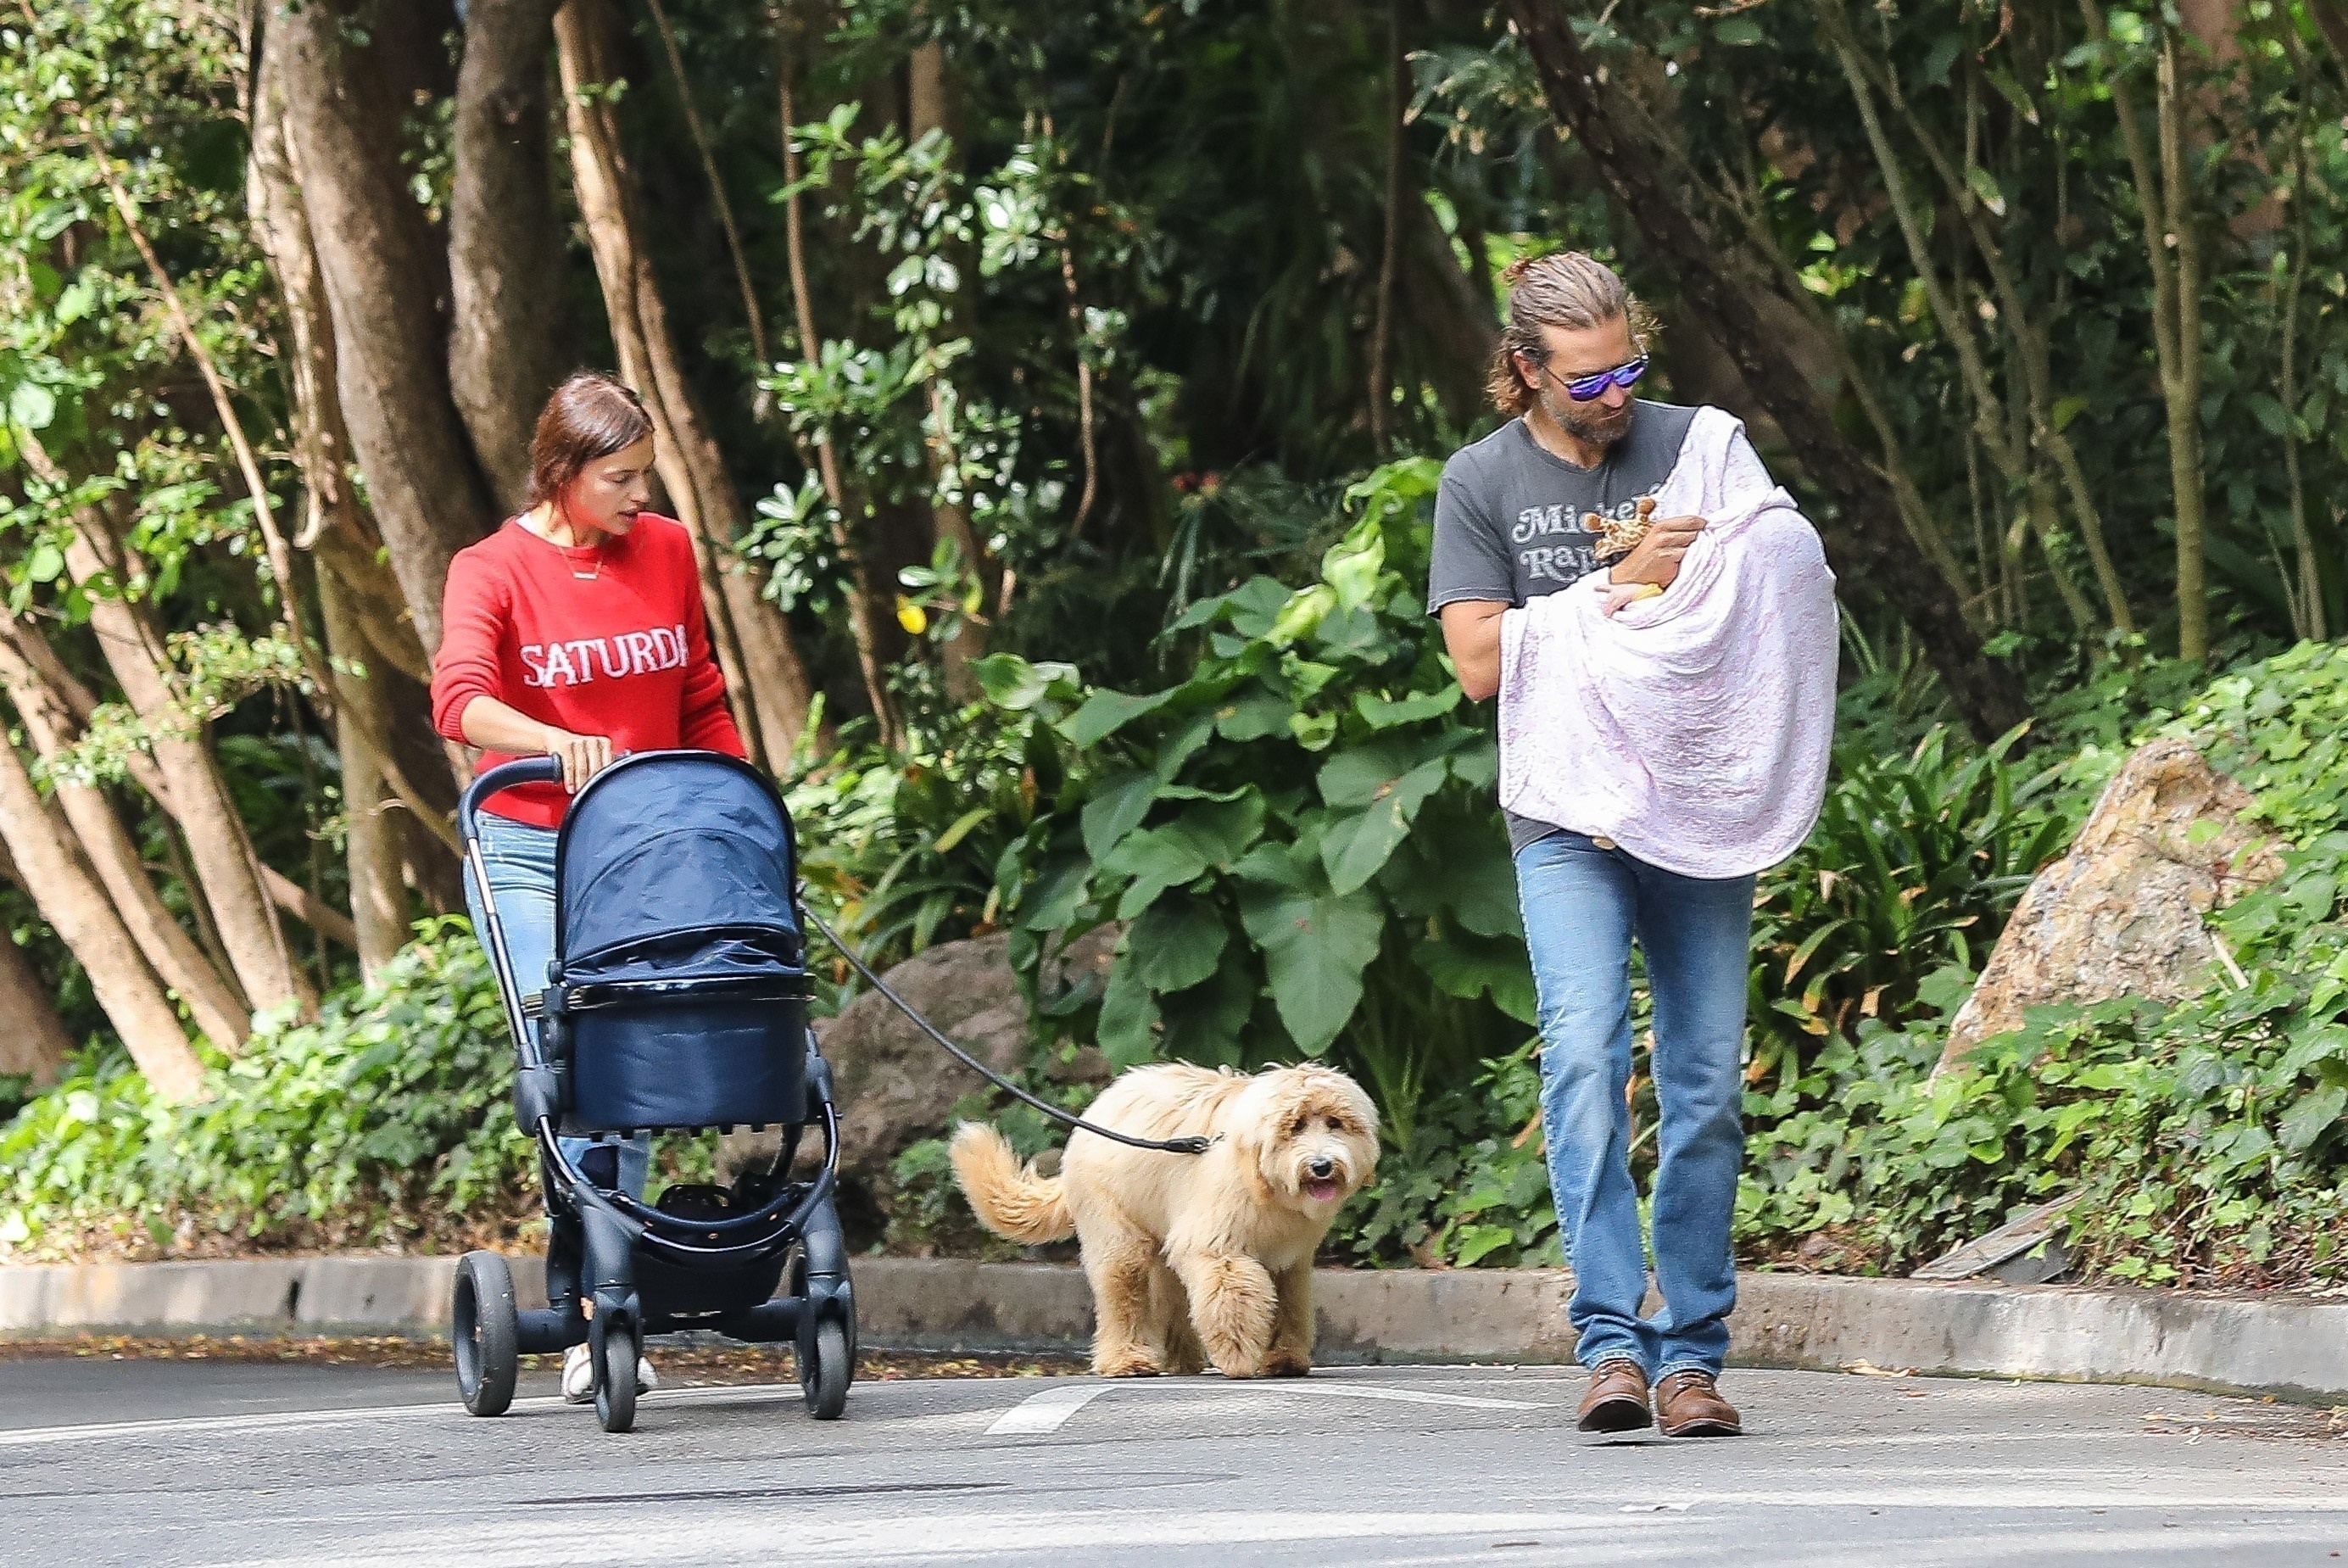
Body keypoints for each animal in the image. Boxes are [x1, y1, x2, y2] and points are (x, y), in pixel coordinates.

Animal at [944, 1061, 1371, 1380]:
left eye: (1335, 1123)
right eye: (1295, 1127)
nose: (1322, 1166)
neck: (1262, 1177)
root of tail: (1093, 1112)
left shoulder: (1291, 1259)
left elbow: (1291, 1304)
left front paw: (1284, 1358)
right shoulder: (1216, 1247)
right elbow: (1232, 1294)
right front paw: (1237, 1356)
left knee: (1171, 1292)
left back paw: (1183, 1358)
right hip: (1116, 1229)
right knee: (1123, 1292)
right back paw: (1127, 1360)